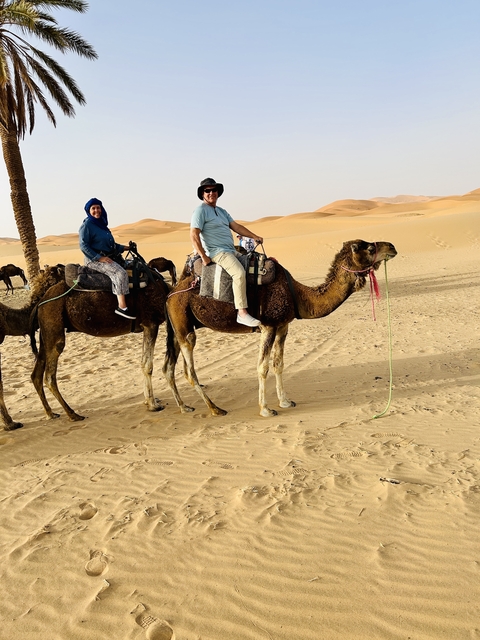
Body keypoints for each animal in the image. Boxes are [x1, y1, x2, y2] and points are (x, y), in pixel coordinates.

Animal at [30, 261, 171, 422]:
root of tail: (41, 302)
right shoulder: (151, 323)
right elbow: (147, 365)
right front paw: (153, 404)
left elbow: (144, 362)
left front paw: (148, 401)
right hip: (53, 325)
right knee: (49, 376)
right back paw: (73, 414)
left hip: (46, 333)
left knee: (36, 374)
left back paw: (50, 413)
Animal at [163, 239, 397, 417]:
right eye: (369, 248)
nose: (392, 247)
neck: (298, 294)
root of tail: (170, 294)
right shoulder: (268, 326)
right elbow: (262, 367)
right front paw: (266, 409)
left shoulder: (283, 326)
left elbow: (279, 364)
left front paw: (285, 401)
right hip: (184, 326)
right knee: (190, 371)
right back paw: (215, 408)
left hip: (176, 328)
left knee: (169, 368)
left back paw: (184, 407)